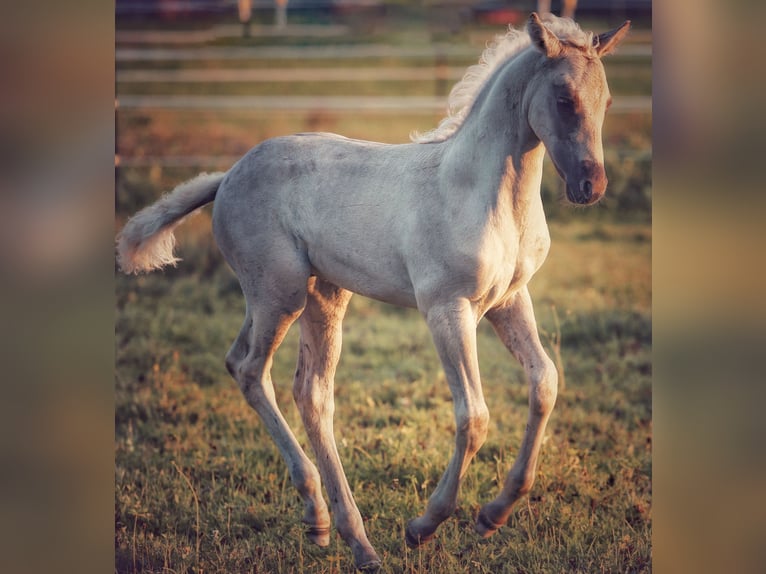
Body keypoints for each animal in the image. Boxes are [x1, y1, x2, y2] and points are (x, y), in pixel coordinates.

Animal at [117, 13, 630, 571]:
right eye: (563, 98)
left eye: (607, 103)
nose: (591, 186)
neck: (479, 192)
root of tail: (227, 175)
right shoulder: (448, 309)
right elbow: (474, 417)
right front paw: (423, 527)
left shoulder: (510, 301)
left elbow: (545, 383)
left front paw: (492, 516)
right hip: (280, 294)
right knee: (251, 370)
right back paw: (325, 515)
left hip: (324, 295)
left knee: (307, 391)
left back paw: (345, 534)